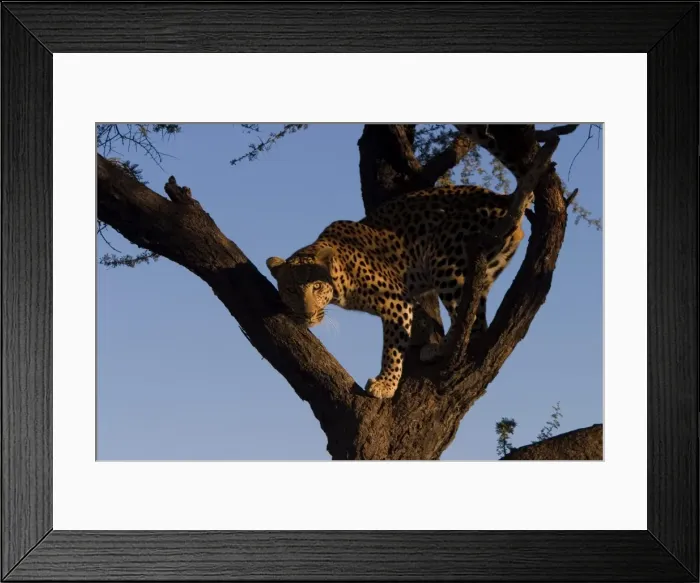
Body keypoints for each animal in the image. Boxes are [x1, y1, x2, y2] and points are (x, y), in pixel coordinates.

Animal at [266, 125, 540, 399]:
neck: (339, 277)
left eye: (316, 287)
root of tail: (500, 198)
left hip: (445, 263)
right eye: (291, 290)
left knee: (473, 323)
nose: (307, 314)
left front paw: (385, 384)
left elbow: (393, 345)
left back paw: (442, 351)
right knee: (472, 314)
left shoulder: (395, 298)